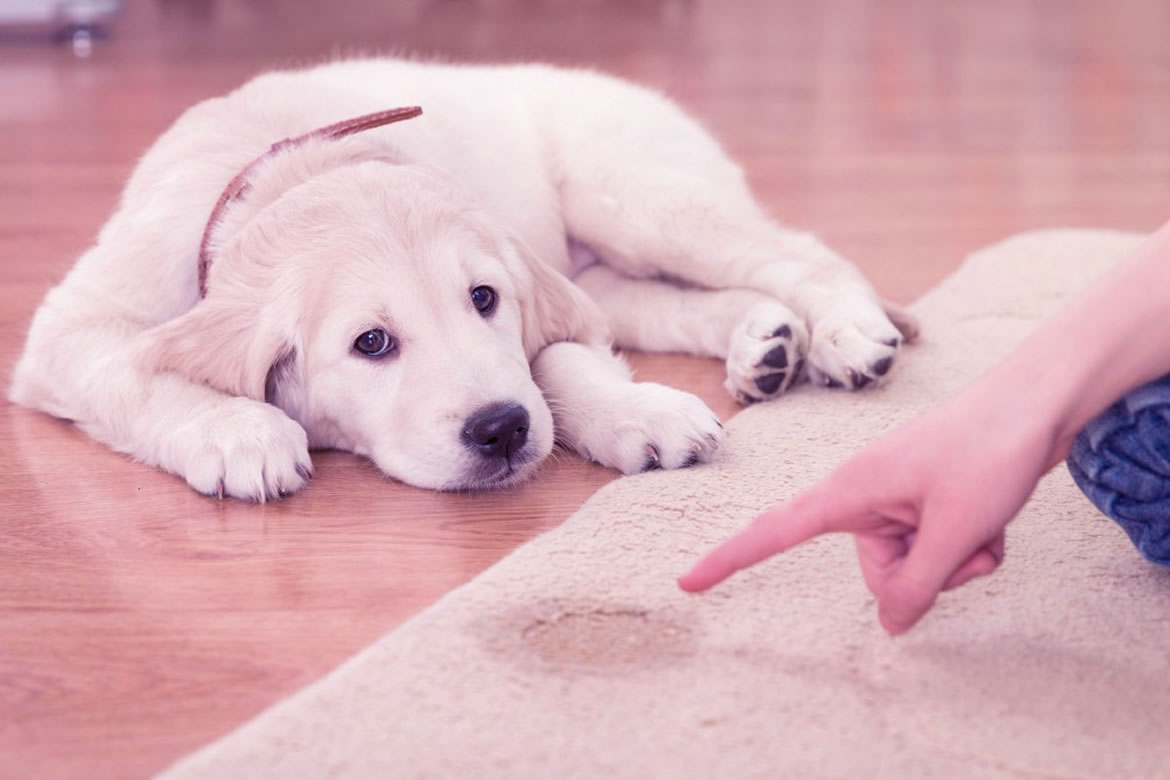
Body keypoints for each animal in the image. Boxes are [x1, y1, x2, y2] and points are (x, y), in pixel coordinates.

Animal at [9, 59, 917, 500]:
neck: (291, 165)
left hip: (635, 195)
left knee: (798, 252)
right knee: (667, 303)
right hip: (607, 260)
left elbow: (557, 359)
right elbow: (134, 370)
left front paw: (635, 412)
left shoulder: (534, 291)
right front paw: (239, 433)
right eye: (371, 343)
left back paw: (845, 334)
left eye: (484, 301)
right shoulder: (73, 327)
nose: (502, 431)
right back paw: (764, 343)